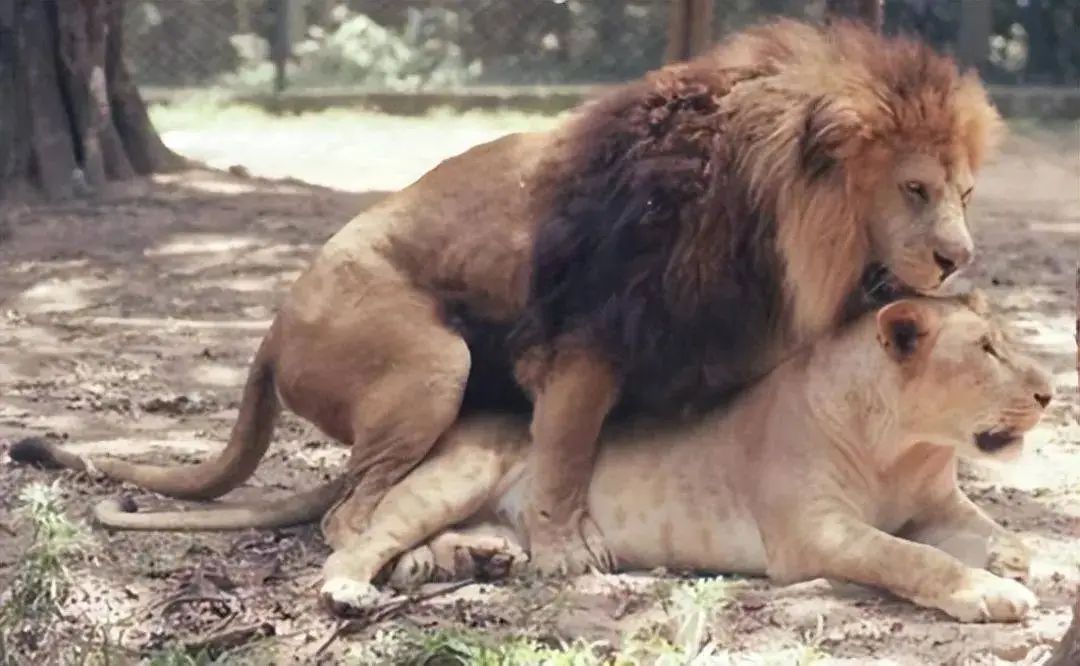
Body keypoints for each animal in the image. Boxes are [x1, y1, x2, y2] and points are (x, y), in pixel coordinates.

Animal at [8, 16, 1002, 608]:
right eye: (915, 189)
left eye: (965, 192)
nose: (959, 258)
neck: (770, 215)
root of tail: (271, 329)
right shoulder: (589, 336)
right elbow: (563, 447)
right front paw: (565, 550)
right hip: (431, 362)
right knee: (349, 515)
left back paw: (460, 556)